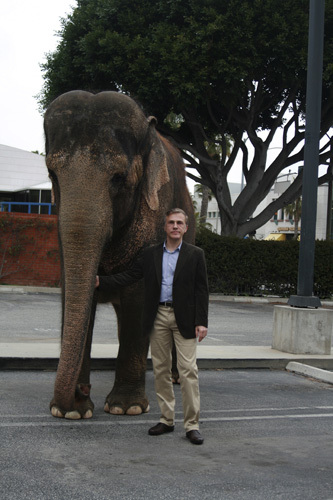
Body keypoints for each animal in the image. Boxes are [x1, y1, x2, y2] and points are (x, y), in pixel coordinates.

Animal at [44, 90, 195, 418]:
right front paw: (72, 412)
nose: (81, 390)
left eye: (118, 177)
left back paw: (175, 378)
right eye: (51, 174)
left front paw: (126, 408)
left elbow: (140, 291)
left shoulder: (155, 211)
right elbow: (72, 290)